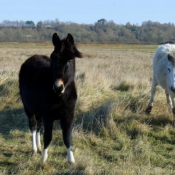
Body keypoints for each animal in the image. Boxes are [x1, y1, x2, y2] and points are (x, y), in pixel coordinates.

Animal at [19, 32, 82, 164]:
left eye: (70, 59)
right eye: (53, 58)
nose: (58, 87)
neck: (60, 96)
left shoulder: (68, 116)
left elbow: (67, 137)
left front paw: (71, 160)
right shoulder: (48, 116)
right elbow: (48, 136)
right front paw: (43, 159)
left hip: (39, 112)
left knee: (38, 127)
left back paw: (38, 148)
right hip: (29, 109)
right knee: (33, 127)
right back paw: (34, 150)